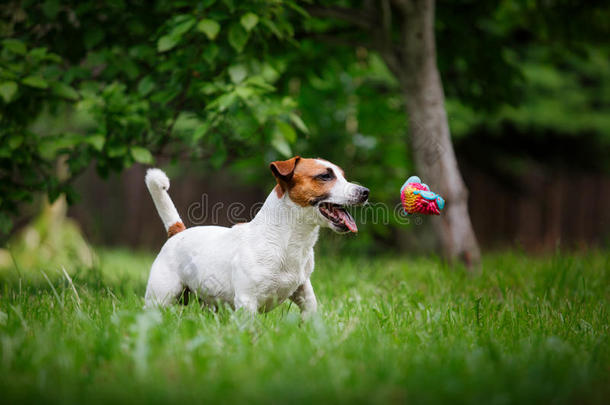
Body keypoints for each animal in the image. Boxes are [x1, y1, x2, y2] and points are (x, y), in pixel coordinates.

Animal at [145, 155, 368, 316]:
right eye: (325, 176)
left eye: (343, 175)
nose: (365, 191)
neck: (285, 240)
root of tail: (178, 231)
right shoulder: (247, 301)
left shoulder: (305, 294)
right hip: (159, 297)